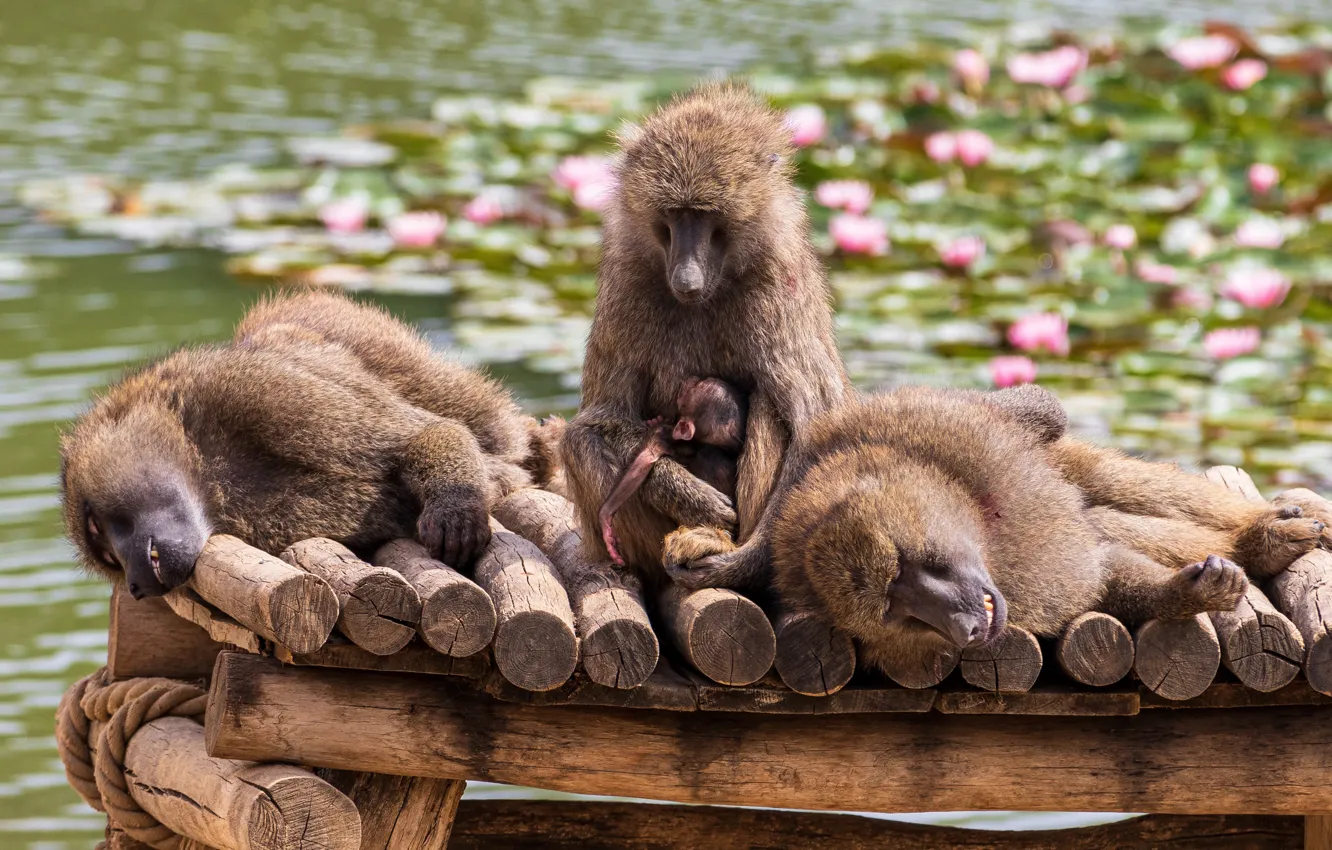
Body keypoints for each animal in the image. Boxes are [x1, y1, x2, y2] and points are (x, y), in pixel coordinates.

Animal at [60, 291, 540, 599]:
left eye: (96, 527)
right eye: (108, 558)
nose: (136, 588)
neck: (205, 467)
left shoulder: (252, 388)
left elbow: (423, 434)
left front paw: (455, 505)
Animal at [670, 385, 1325, 675]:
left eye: (915, 568)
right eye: (898, 609)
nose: (967, 627)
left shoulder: (922, 424)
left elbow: (1041, 411)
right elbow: (1105, 573)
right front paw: (1188, 592)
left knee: (1097, 485)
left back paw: (1263, 538)